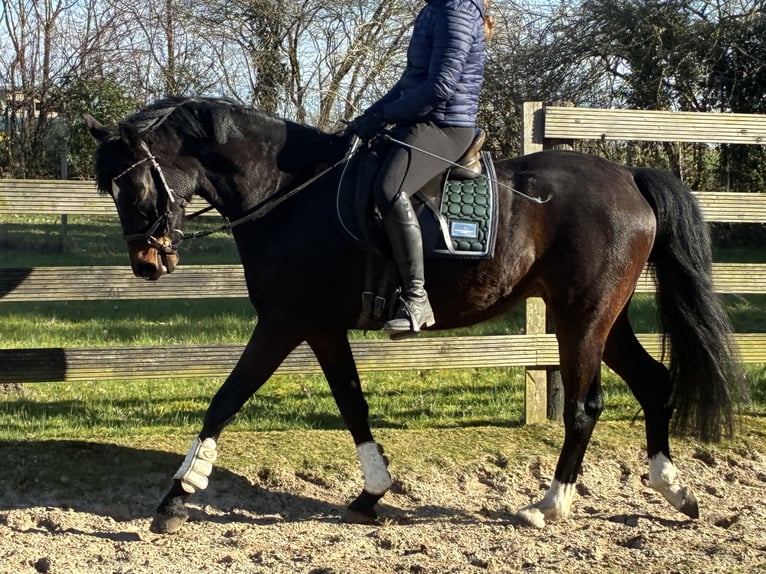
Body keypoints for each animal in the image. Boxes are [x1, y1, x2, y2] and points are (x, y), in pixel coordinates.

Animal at [84, 96, 746, 534]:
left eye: (133, 187)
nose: (146, 263)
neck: (289, 194)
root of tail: (630, 178)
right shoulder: (320, 327)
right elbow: (352, 403)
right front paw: (371, 492)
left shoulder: (282, 323)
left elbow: (226, 397)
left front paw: (176, 497)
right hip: (601, 317)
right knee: (653, 382)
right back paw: (676, 492)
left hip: (581, 317)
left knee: (585, 407)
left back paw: (549, 505)